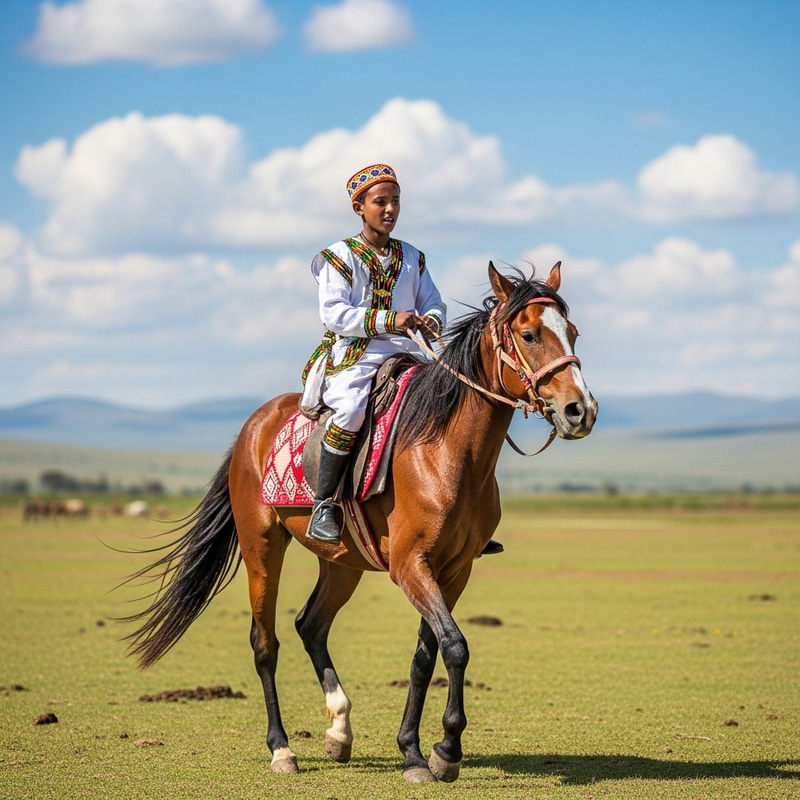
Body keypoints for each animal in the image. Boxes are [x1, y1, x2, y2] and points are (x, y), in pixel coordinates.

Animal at [120, 261, 597, 784]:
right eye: (529, 335)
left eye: (572, 332)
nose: (580, 410)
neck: (448, 453)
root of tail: (255, 423)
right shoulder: (410, 566)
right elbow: (455, 646)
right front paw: (446, 751)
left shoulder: (454, 570)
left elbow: (426, 655)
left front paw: (415, 750)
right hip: (262, 547)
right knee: (265, 644)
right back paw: (282, 749)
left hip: (341, 562)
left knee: (311, 625)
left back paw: (339, 731)